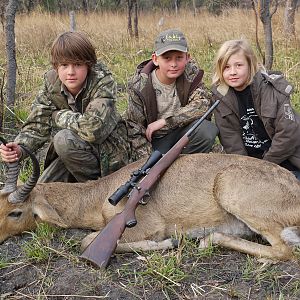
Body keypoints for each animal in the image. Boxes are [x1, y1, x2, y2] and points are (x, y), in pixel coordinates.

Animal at [0, 151, 300, 262]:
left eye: (16, 212)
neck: (100, 196)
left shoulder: (145, 226)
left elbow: (86, 241)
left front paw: (166, 243)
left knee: (285, 250)